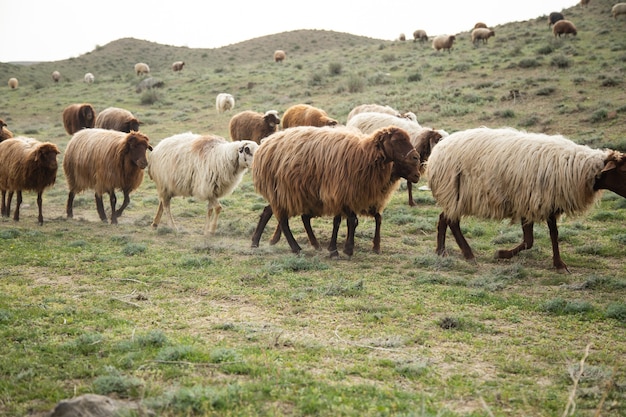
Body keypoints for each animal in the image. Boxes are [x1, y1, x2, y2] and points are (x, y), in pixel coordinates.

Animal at [249, 125, 420, 255]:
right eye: (397, 140)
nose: (416, 158)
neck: (364, 155)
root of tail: (265, 144)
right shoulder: (340, 193)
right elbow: (351, 221)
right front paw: (344, 250)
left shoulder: (348, 196)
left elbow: (350, 220)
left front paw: (341, 248)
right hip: (284, 192)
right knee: (283, 220)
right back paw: (295, 248)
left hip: (289, 194)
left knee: (271, 212)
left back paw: (256, 242)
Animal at [424, 127, 624, 272]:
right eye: (623, 170)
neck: (581, 169)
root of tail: (440, 147)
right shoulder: (533, 201)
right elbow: (531, 240)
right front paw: (501, 254)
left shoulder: (546, 203)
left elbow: (549, 235)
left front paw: (558, 264)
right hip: (455, 193)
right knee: (451, 221)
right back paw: (466, 254)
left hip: (455, 196)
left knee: (445, 219)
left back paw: (443, 251)